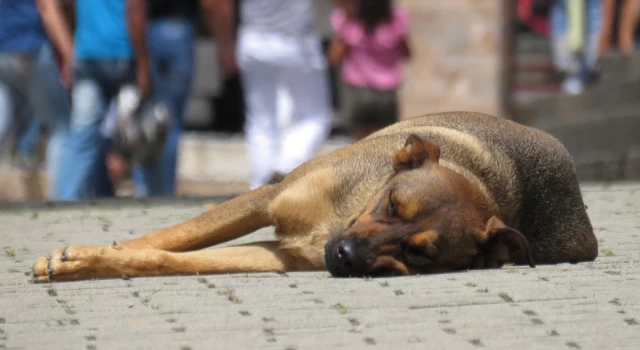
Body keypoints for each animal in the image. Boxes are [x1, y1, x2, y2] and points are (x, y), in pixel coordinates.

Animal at [31, 112, 600, 282]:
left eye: (420, 253)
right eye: (392, 205)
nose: (343, 256)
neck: (340, 218)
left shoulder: (281, 256)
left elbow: (164, 259)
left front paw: (88, 261)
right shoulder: (268, 198)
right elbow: (170, 237)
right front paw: (82, 257)